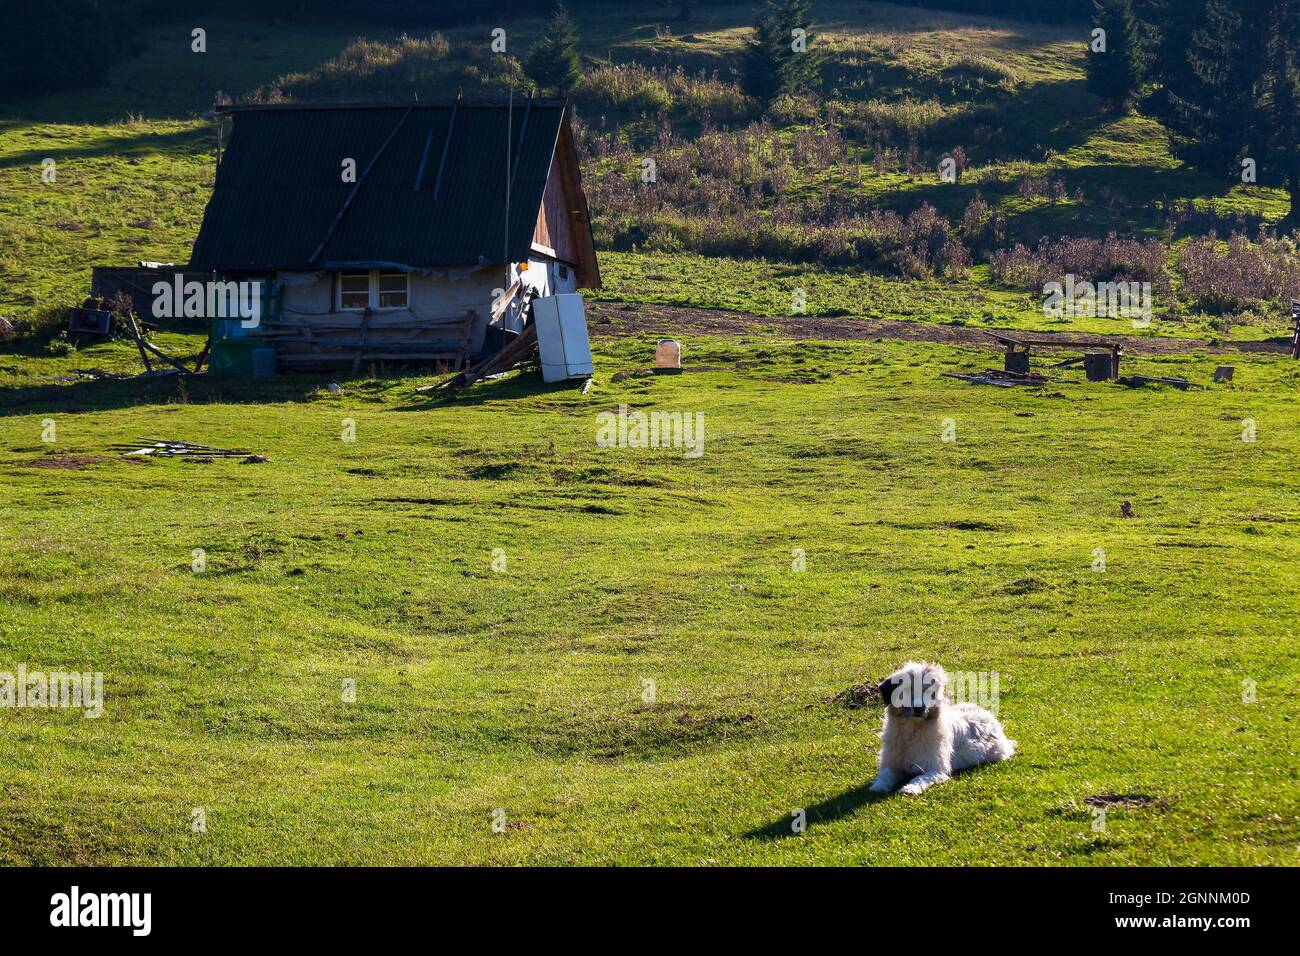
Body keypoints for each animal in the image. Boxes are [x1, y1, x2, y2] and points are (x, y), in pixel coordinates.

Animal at [873, 660, 1013, 796]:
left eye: (929, 692)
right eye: (907, 690)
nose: (919, 708)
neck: (912, 729)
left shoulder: (936, 770)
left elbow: (920, 778)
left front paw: (910, 788)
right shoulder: (892, 764)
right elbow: (885, 774)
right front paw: (879, 786)